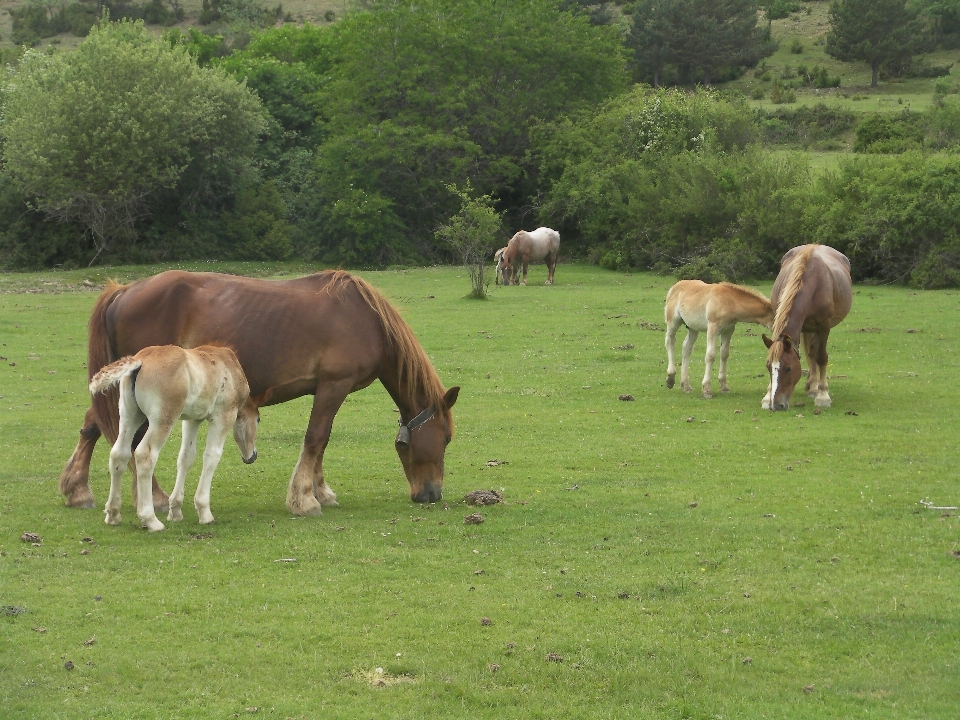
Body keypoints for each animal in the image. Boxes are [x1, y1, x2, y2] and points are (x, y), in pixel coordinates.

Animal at [60, 268, 462, 512]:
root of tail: (124, 291)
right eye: (444, 439)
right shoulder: (334, 385)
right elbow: (316, 437)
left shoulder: (327, 390)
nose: (431, 494)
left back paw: (77, 489)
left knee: (95, 424)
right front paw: (304, 499)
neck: (365, 319)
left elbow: (322, 441)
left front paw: (320, 491)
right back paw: (154, 498)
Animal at [90, 346, 258, 532]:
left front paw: (175, 511)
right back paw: (150, 519)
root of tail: (140, 361)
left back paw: (113, 514)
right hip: (163, 420)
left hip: (129, 416)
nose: (252, 456)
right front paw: (204, 512)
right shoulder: (223, 415)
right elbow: (211, 456)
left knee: (119, 454)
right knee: (145, 455)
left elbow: (186, 457)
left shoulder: (192, 419)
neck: (228, 365)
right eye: (258, 420)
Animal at [760, 245, 852, 410]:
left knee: (814, 353)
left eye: (788, 369)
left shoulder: (824, 327)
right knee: (811, 352)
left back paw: (816, 388)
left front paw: (823, 396)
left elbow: (821, 357)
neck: (812, 281)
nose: (777, 405)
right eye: (768, 367)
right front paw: (767, 395)